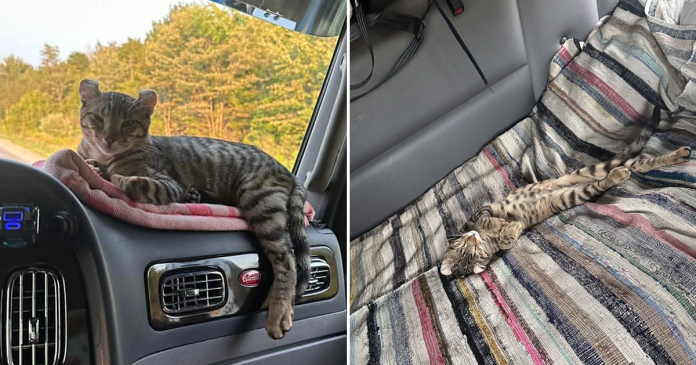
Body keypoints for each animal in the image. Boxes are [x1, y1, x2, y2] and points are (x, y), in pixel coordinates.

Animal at [74, 79, 310, 338]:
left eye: (128, 123)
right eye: (98, 117)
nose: (108, 138)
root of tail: (286, 171)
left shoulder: (167, 183)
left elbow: (134, 182)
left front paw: (113, 175)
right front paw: (94, 166)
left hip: (260, 200)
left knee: (287, 259)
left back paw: (279, 311)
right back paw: (196, 195)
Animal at [440, 108, 692, 276]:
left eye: (466, 248)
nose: (472, 238)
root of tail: (565, 184)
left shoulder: (479, 212)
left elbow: (489, 221)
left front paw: (501, 226)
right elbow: (506, 241)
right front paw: (509, 230)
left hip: (589, 171)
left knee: (636, 164)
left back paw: (677, 155)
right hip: (570, 196)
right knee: (622, 172)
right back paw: (628, 172)